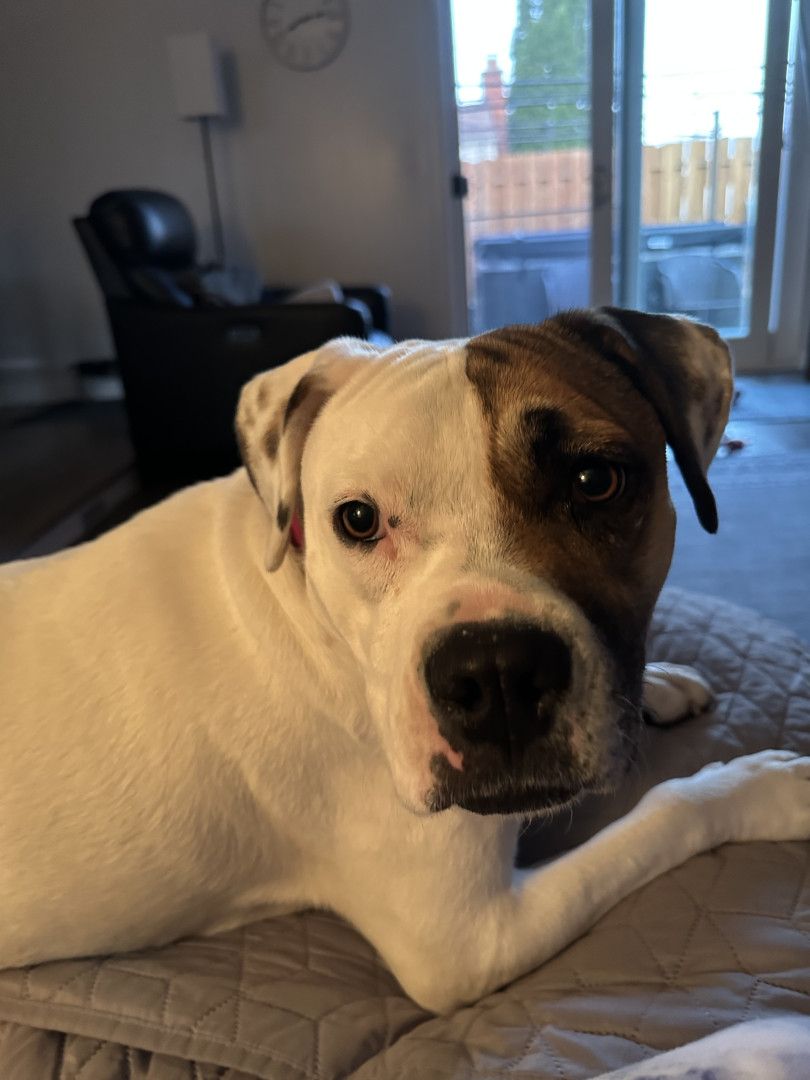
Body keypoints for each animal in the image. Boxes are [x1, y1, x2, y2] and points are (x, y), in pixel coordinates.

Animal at [2, 307, 809, 1015]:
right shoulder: (469, 940)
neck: (309, 608)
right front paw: (768, 787)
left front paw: (662, 682)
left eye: (595, 481)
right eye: (358, 520)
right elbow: (668, 811)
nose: (496, 674)